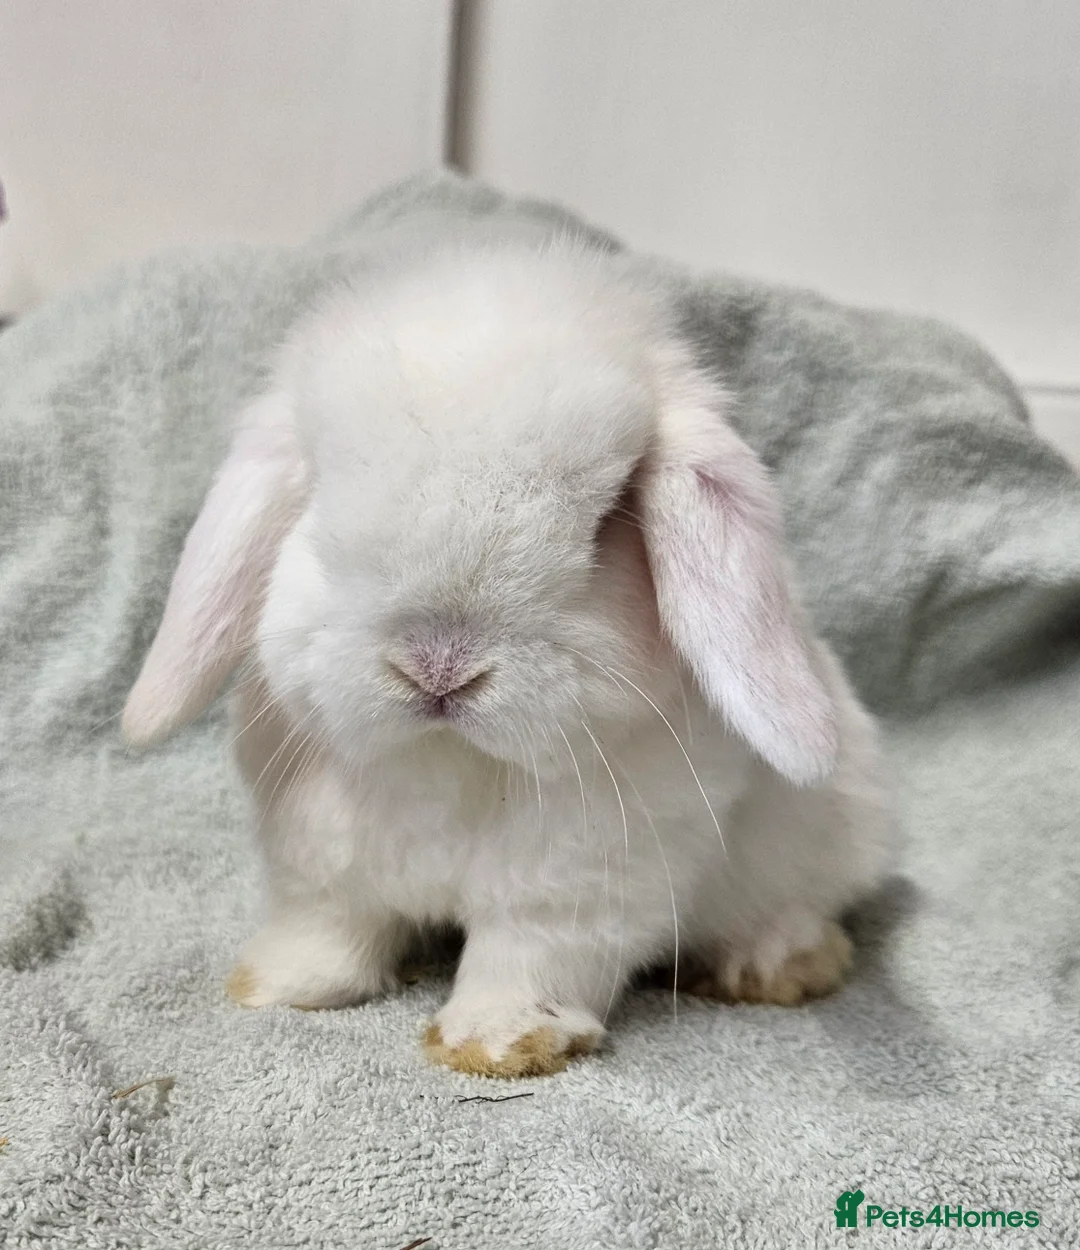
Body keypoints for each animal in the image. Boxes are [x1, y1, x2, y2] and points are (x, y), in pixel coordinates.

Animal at [123, 227, 894, 1078]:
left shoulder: (580, 881)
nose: (437, 669)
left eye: (608, 519)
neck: (449, 755)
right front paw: (279, 987)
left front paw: (499, 1044)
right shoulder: (320, 858)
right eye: (318, 497)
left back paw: (779, 965)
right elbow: (330, 926)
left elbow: (526, 955)